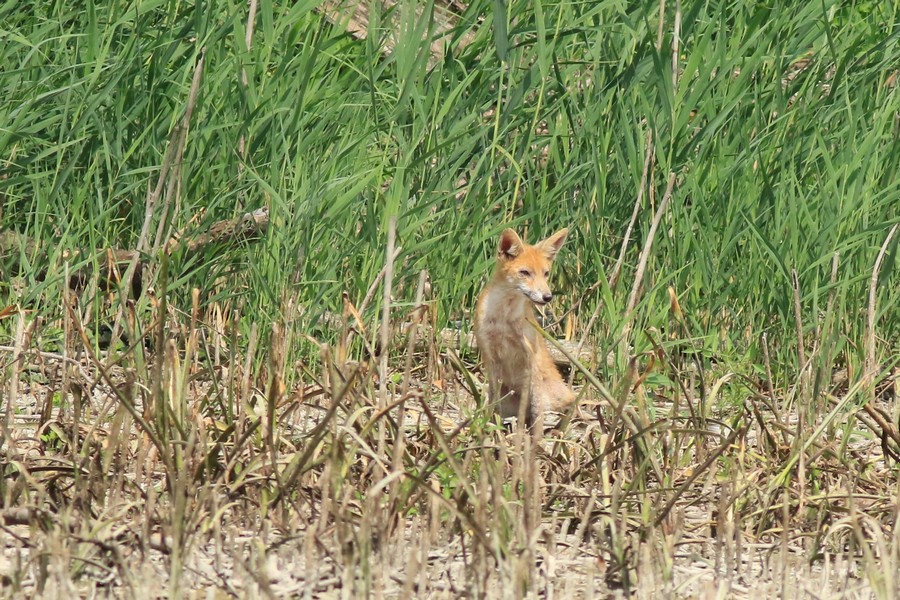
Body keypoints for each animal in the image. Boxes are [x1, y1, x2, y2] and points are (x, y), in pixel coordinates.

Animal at [472, 225, 576, 426]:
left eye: (546, 273)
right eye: (525, 273)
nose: (547, 297)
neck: (503, 319)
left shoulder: (529, 356)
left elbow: (534, 408)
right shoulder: (490, 355)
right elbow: (494, 400)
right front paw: (491, 424)